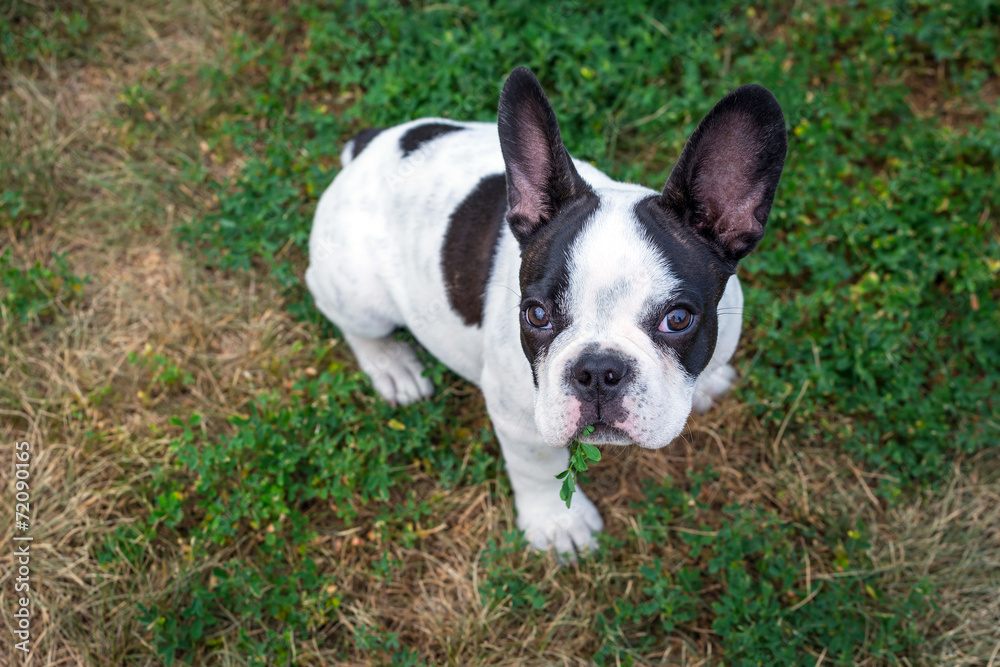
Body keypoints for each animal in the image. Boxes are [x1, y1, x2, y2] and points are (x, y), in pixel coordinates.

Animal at [300, 66, 784, 560]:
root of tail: (368, 150)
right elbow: (535, 466)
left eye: (679, 319)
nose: (598, 370)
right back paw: (391, 365)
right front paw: (557, 524)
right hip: (360, 296)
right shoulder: (516, 415)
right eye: (535, 315)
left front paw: (709, 383)